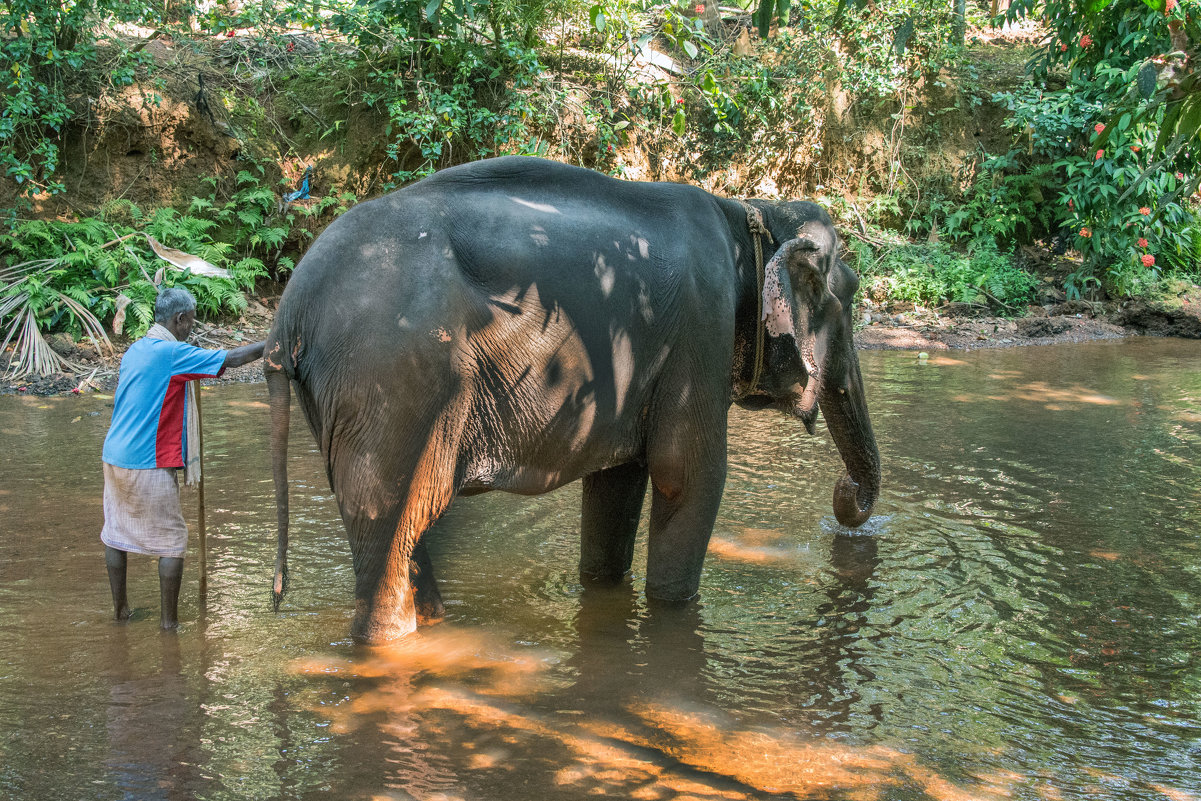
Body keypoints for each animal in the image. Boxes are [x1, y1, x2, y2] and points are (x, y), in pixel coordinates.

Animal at [265, 156, 883, 643]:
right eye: (850, 295)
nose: (846, 499)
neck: (748, 215)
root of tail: (286, 313)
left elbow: (616, 483)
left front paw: (606, 594)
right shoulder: (701, 334)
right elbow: (688, 476)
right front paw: (673, 612)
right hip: (394, 387)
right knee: (394, 527)